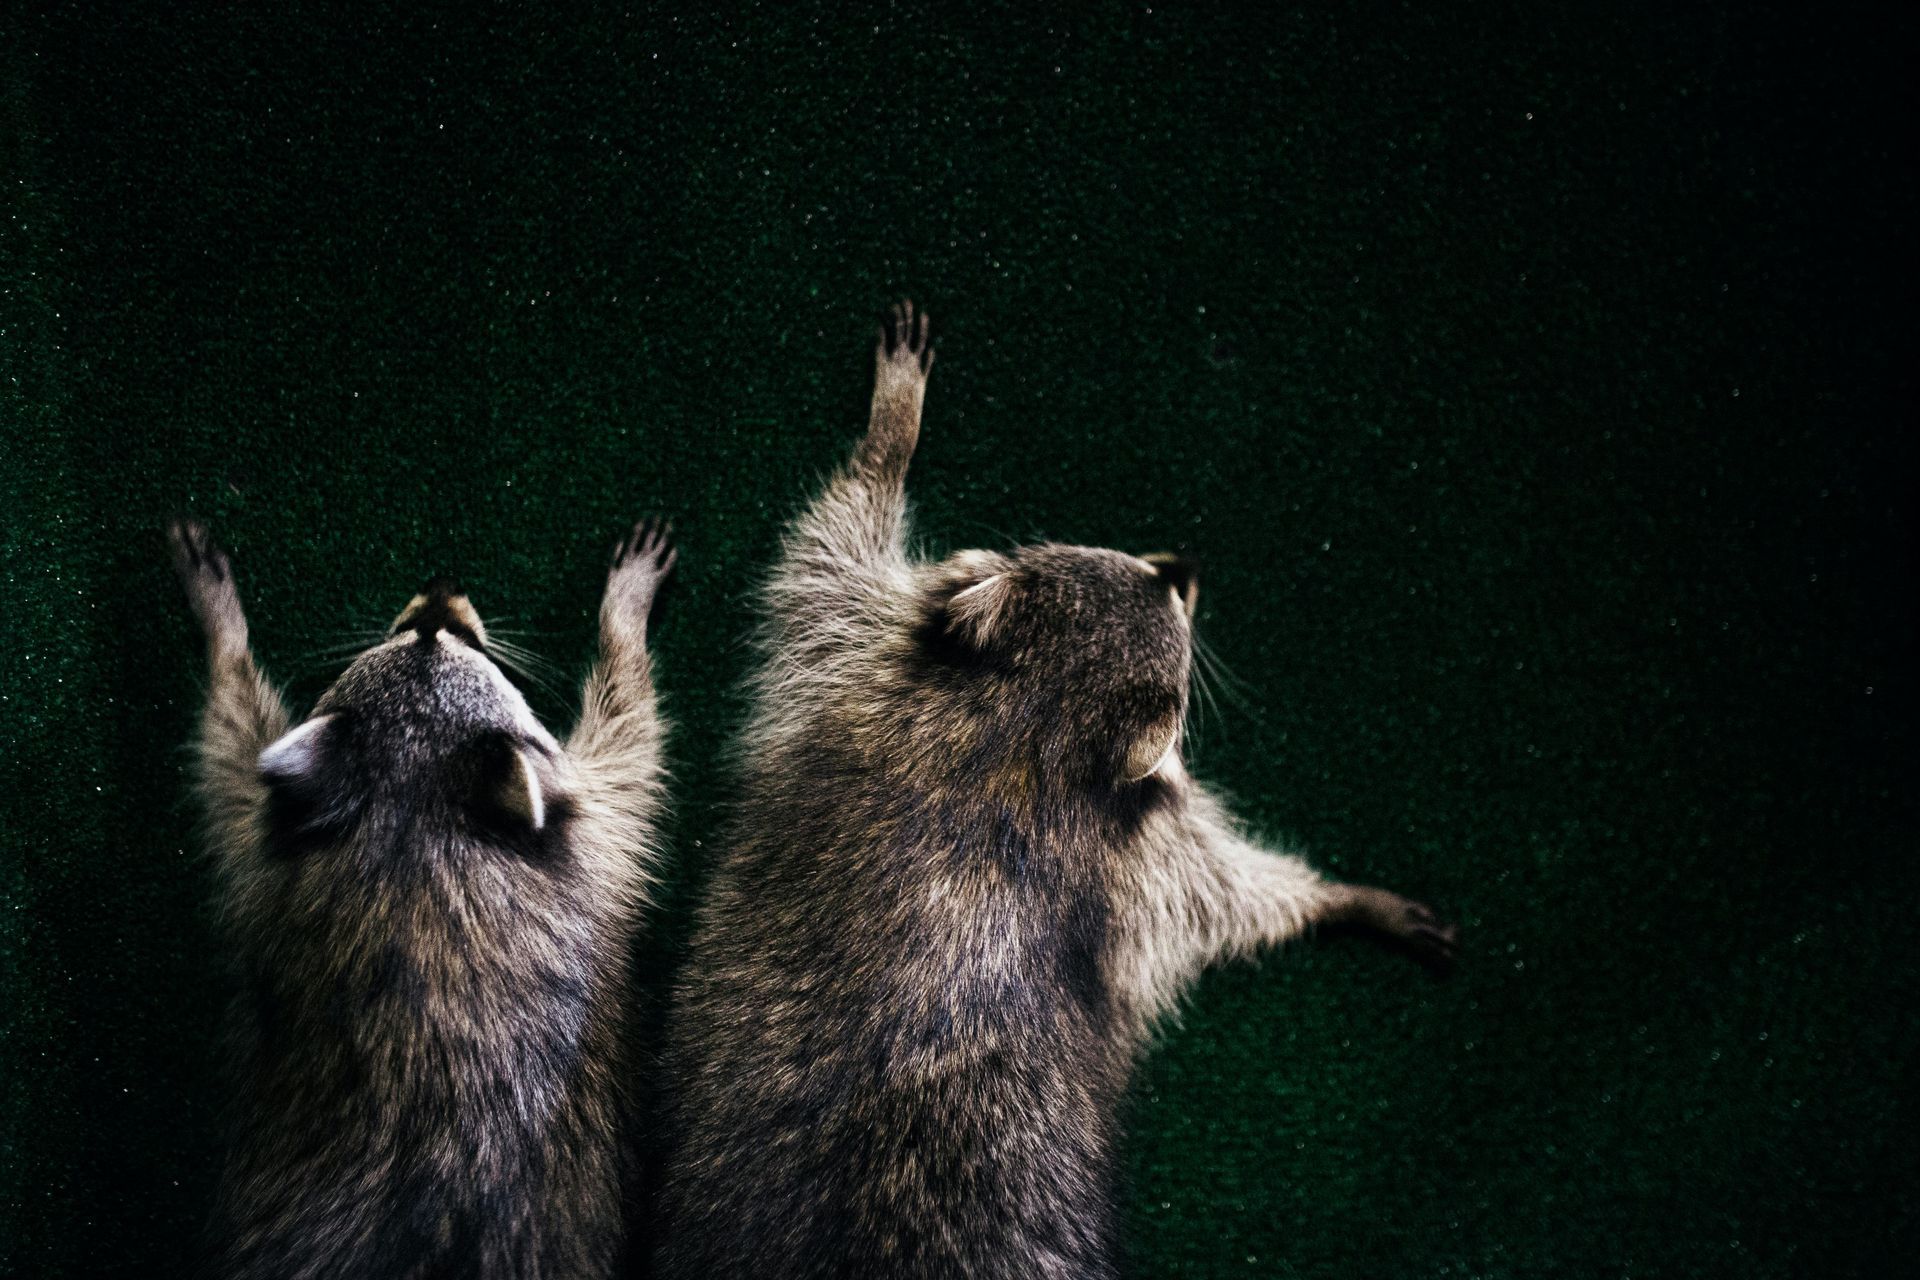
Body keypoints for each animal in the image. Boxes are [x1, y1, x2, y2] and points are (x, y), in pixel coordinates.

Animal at [168, 516, 676, 1280]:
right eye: (431, 634)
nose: (440, 587)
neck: (414, 806)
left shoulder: (277, 853)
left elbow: (234, 745)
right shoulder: (597, 837)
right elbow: (629, 726)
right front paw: (624, 620)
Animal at [653, 302, 1457, 1279]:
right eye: (1156, 584)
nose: (1184, 564)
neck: (1024, 735)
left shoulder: (878, 678)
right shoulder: (1131, 852)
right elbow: (836, 541)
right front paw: (893, 437)